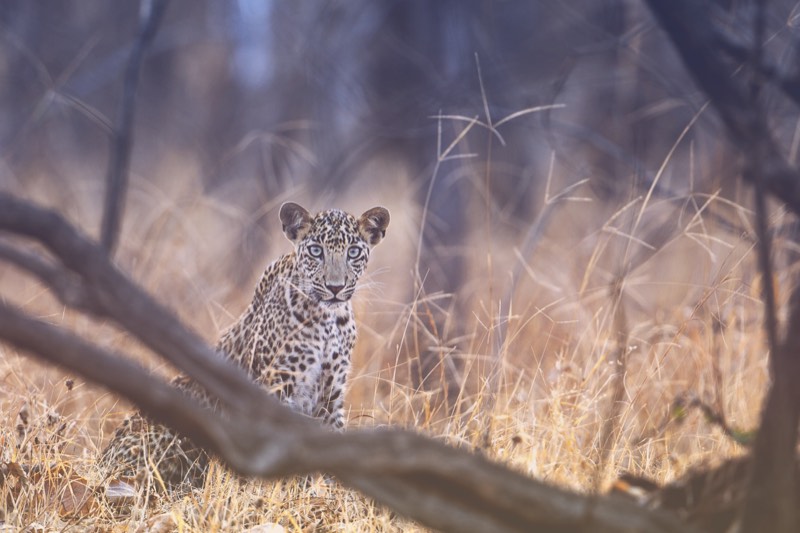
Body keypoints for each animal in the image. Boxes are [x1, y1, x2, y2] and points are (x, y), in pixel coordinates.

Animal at [99, 202, 390, 490]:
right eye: (316, 251)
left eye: (353, 252)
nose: (335, 287)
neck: (329, 320)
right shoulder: (277, 388)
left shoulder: (331, 395)